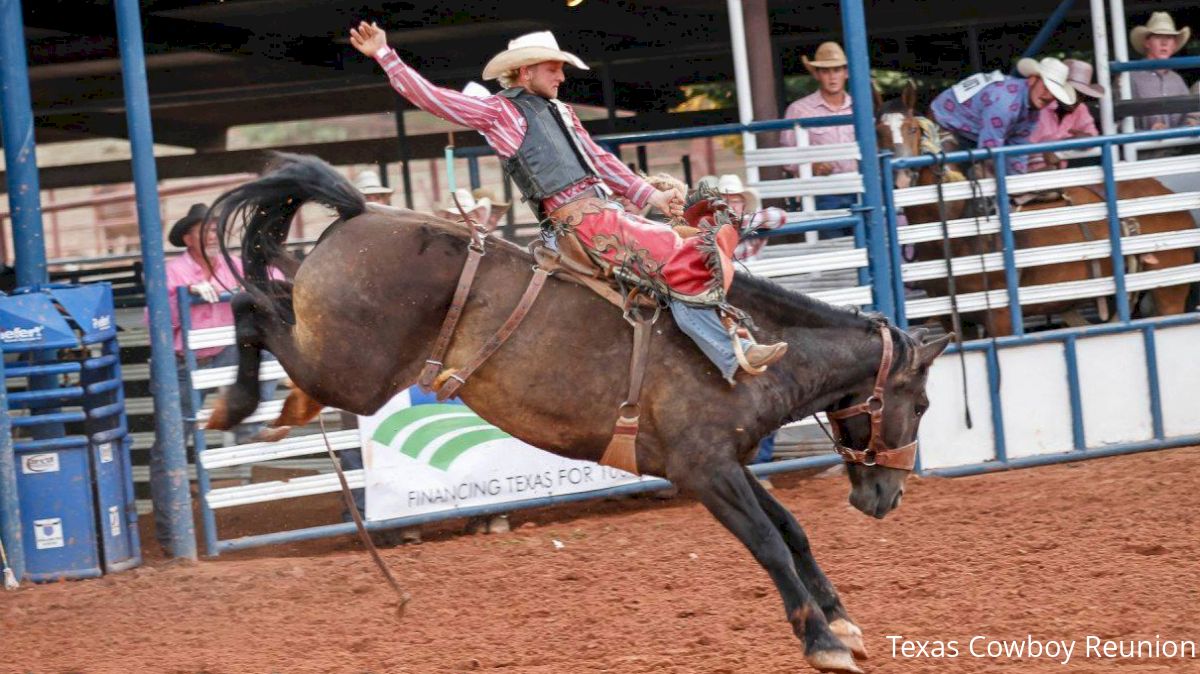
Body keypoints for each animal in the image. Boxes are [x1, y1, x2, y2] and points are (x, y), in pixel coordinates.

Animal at [208, 153, 955, 671]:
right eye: (920, 402)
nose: (888, 496)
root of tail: (362, 211)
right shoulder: (705, 471)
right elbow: (768, 543)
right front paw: (824, 642)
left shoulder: (731, 462)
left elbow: (792, 530)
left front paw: (844, 622)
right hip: (353, 372)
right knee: (250, 307)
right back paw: (235, 406)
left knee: (265, 305)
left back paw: (275, 407)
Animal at [878, 83, 1195, 335]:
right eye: (878, 132)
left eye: (912, 129)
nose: (899, 178)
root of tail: (1170, 197)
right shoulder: (952, 319)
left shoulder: (1001, 317)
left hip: (1170, 293)